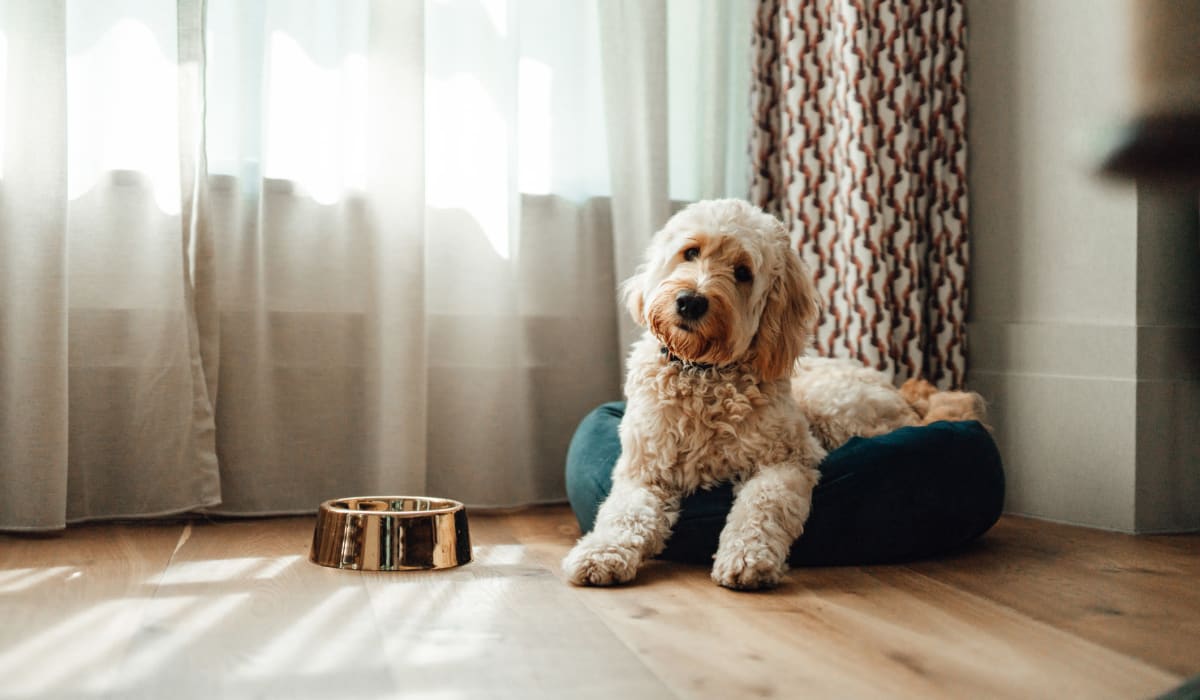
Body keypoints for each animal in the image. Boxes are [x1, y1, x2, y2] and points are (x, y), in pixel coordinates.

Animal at [561, 198, 984, 590]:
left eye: (743, 273)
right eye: (691, 252)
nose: (690, 301)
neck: (703, 375)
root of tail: (906, 397)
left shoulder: (786, 460)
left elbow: (761, 507)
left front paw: (747, 557)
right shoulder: (644, 471)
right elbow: (623, 514)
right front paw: (601, 552)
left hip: (835, 409)